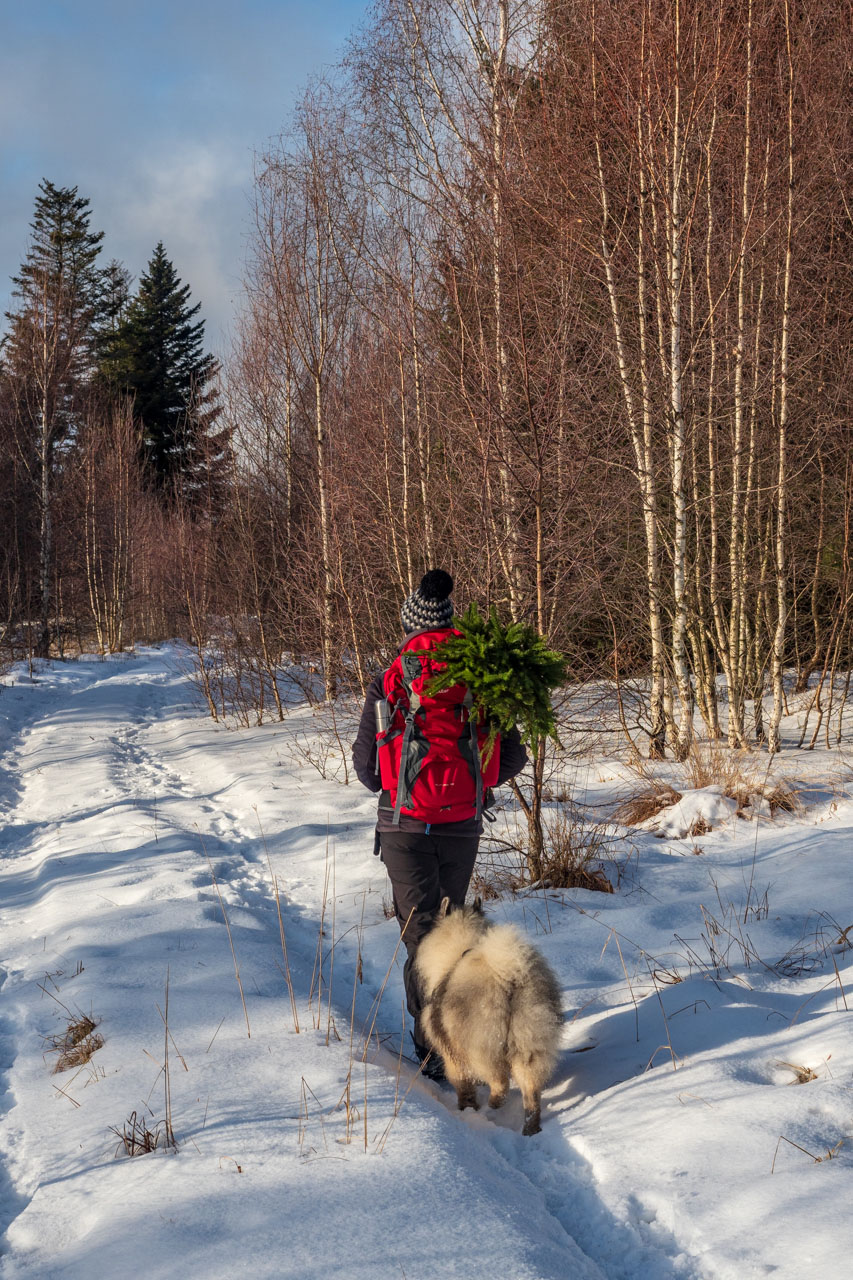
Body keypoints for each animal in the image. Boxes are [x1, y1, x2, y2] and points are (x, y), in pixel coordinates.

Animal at [412, 896, 560, 1136]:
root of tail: (506, 975)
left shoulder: (452, 1055)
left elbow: (463, 1086)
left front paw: (467, 1107)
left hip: (482, 1047)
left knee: (500, 1082)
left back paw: (493, 1104)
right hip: (529, 1043)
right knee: (531, 1095)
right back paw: (530, 1129)